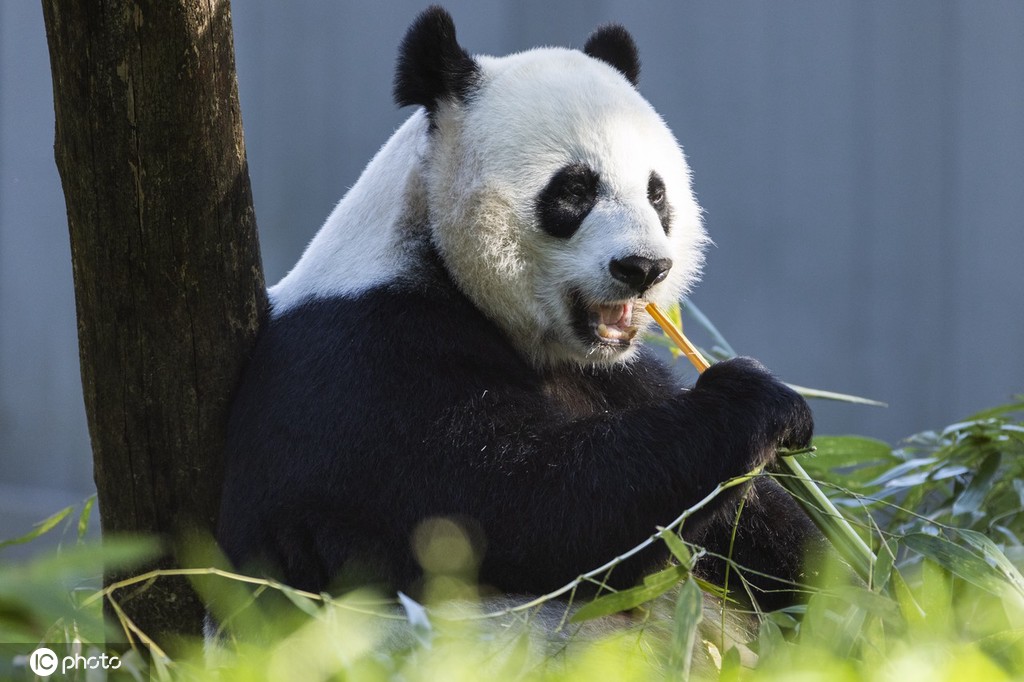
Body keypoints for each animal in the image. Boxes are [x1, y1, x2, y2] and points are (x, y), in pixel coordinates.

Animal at [216, 3, 823, 610]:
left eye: (657, 193)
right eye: (574, 191)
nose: (644, 268)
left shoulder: (619, 377)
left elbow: (757, 529)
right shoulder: (371, 364)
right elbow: (525, 508)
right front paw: (756, 398)